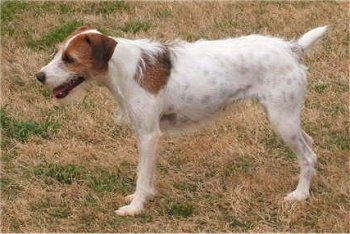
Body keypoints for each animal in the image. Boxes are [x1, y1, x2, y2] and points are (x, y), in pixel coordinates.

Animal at [36, 25, 328, 216]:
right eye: (58, 53)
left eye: (69, 59)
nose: (39, 76)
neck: (124, 68)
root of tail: (291, 48)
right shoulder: (149, 136)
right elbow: (148, 173)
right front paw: (146, 196)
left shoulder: (148, 135)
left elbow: (141, 174)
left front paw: (135, 208)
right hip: (287, 118)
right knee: (310, 144)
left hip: (282, 120)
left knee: (307, 155)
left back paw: (300, 195)